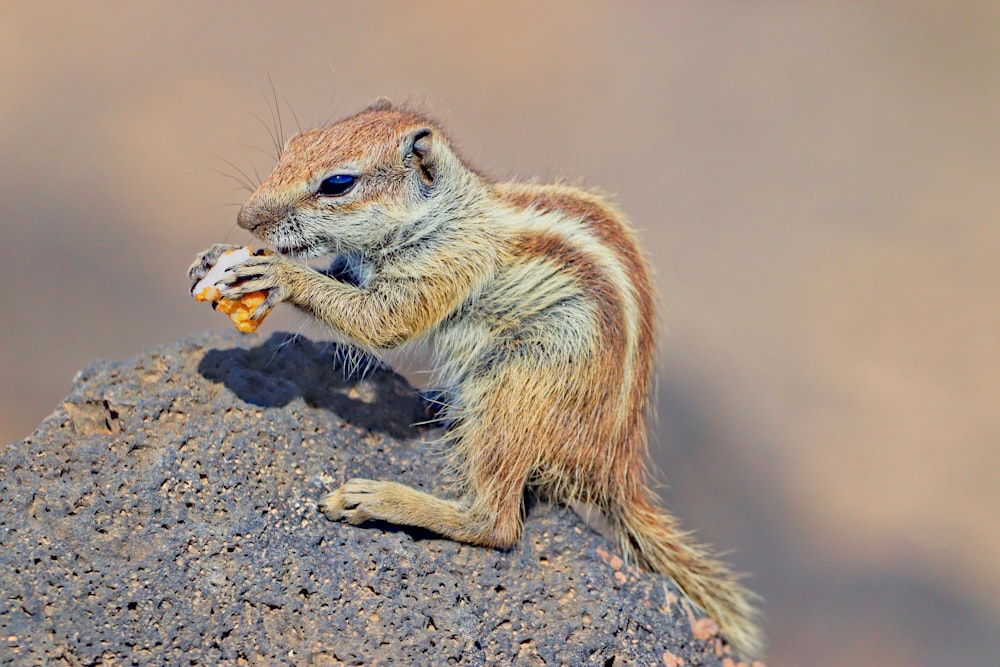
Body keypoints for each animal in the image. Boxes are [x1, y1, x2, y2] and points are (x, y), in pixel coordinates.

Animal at [188, 99, 760, 656]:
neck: (445, 215)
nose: (245, 218)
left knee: (497, 522)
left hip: (513, 387)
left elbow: (382, 322)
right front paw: (212, 259)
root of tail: (611, 465)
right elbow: (344, 282)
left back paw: (379, 499)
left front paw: (277, 275)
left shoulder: (446, 266)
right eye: (292, 145)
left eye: (338, 184)